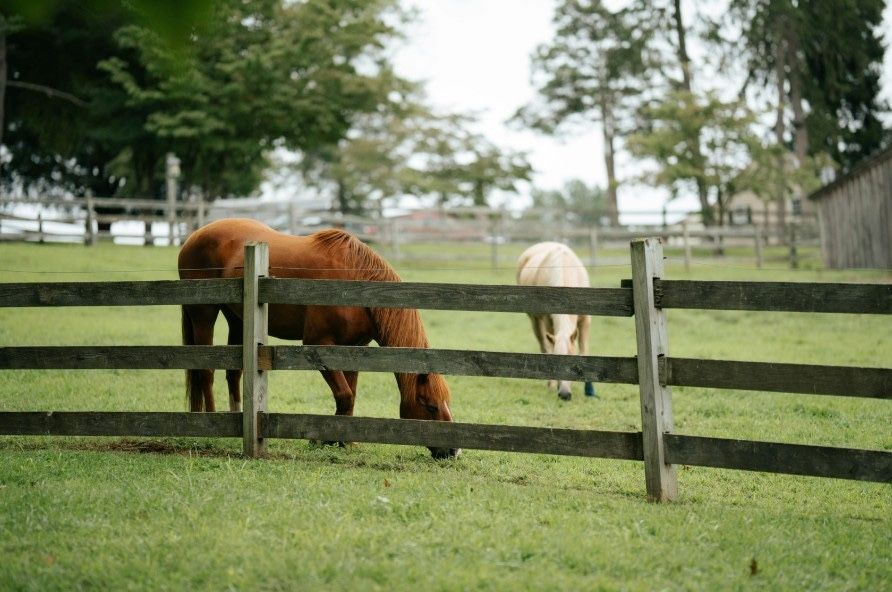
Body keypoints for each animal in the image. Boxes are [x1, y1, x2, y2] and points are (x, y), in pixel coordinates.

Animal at [177, 218, 459, 459]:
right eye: (430, 406)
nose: (454, 451)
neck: (356, 284)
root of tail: (193, 236)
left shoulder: (352, 349)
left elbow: (350, 396)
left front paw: (346, 440)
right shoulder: (318, 345)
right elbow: (344, 395)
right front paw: (327, 439)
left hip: (237, 319)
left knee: (233, 372)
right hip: (203, 314)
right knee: (205, 370)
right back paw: (211, 420)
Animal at [516, 241, 596, 401]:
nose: (564, 394)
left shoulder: (585, 320)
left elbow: (584, 351)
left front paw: (589, 390)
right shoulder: (549, 320)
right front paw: (553, 385)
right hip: (535, 319)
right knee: (544, 346)